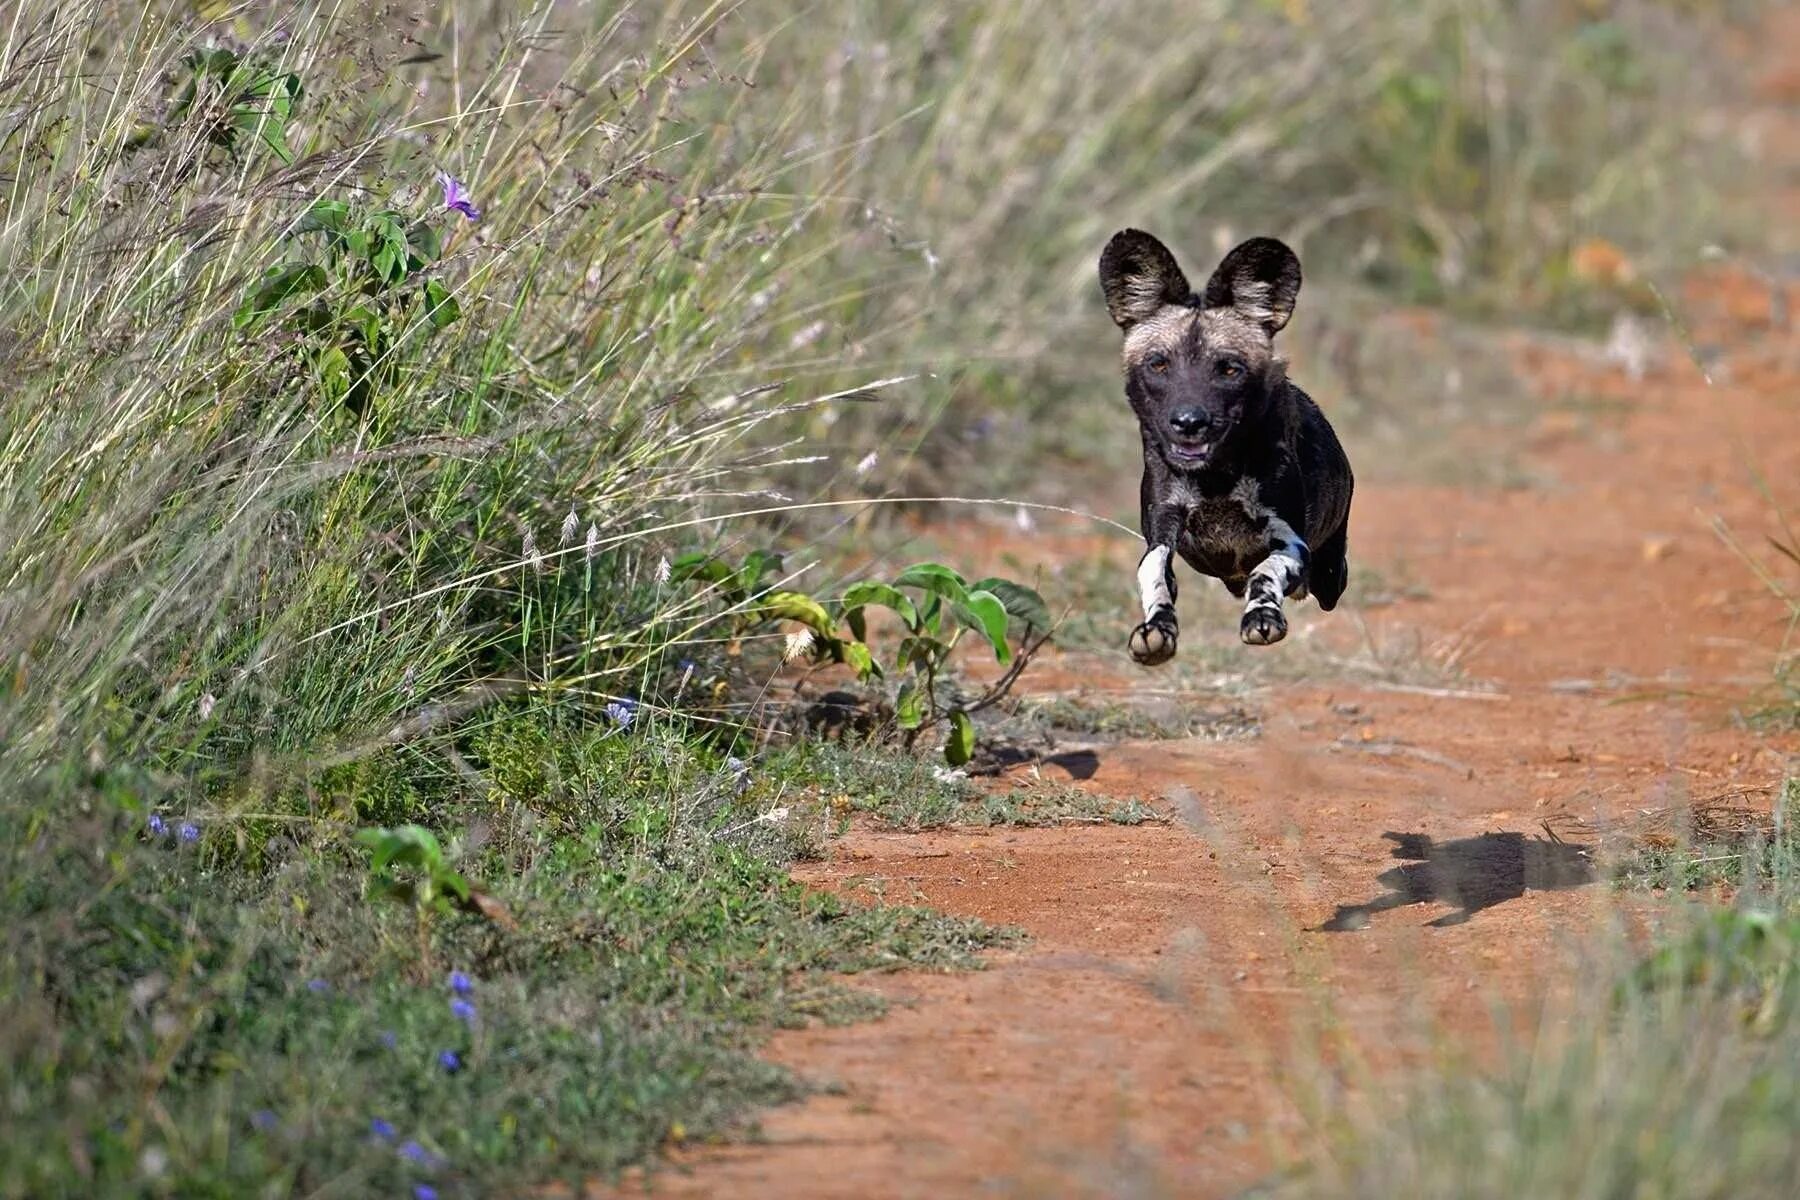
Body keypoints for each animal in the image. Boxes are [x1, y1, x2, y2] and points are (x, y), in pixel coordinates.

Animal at [1094, 228, 1353, 662]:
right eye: (1159, 365)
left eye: (1229, 369)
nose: (1189, 423)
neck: (1214, 478)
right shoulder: (1161, 533)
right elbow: (1154, 577)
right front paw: (1156, 630)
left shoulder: (1290, 540)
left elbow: (1265, 572)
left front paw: (1262, 615)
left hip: (1331, 578)